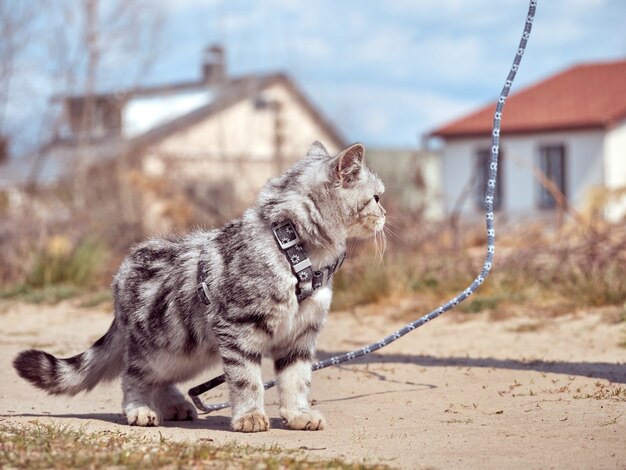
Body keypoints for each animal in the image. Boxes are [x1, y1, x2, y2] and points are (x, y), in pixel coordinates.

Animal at [13, 142, 386, 434]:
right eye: (376, 197)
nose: (385, 214)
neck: (294, 248)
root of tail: (120, 274)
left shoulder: (300, 337)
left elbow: (297, 380)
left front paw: (298, 415)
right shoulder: (238, 328)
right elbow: (247, 380)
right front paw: (250, 416)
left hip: (188, 351)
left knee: (161, 380)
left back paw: (176, 405)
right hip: (161, 349)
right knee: (133, 376)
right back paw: (141, 410)